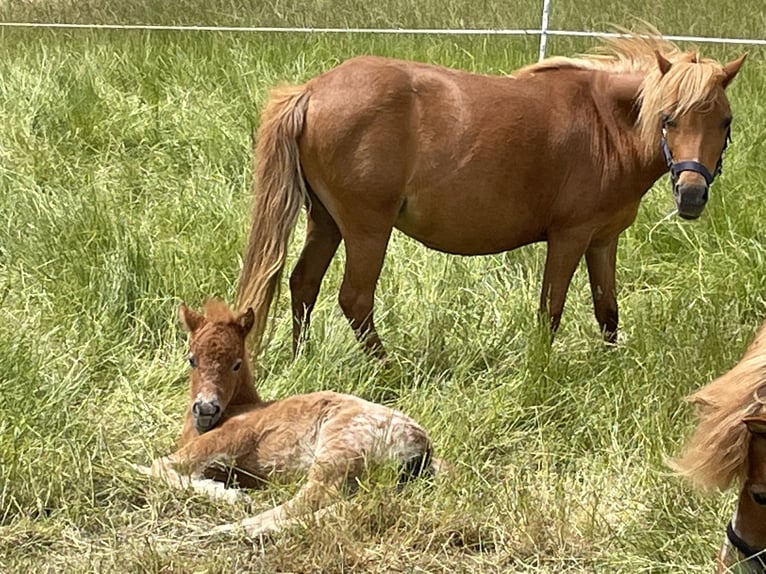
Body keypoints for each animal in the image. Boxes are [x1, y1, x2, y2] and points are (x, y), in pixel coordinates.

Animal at [137, 302, 438, 540]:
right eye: (192, 359)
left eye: (236, 363)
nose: (206, 408)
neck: (238, 408)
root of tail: (422, 445)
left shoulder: (230, 437)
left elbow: (157, 465)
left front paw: (234, 497)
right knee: (358, 504)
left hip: (338, 450)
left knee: (312, 498)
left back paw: (232, 529)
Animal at [237, 33, 748, 358]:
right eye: (668, 118)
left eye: (724, 121)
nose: (692, 196)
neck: (605, 123)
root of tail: (311, 91)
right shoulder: (570, 237)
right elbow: (551, 310)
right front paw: (541, 372)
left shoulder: (603, 240)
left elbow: (608, 310)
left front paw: (611, 367)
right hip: (367, 229)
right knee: (354, 299)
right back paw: (386, 368)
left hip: (325, 221)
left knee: (303, 284)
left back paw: (304, 360)